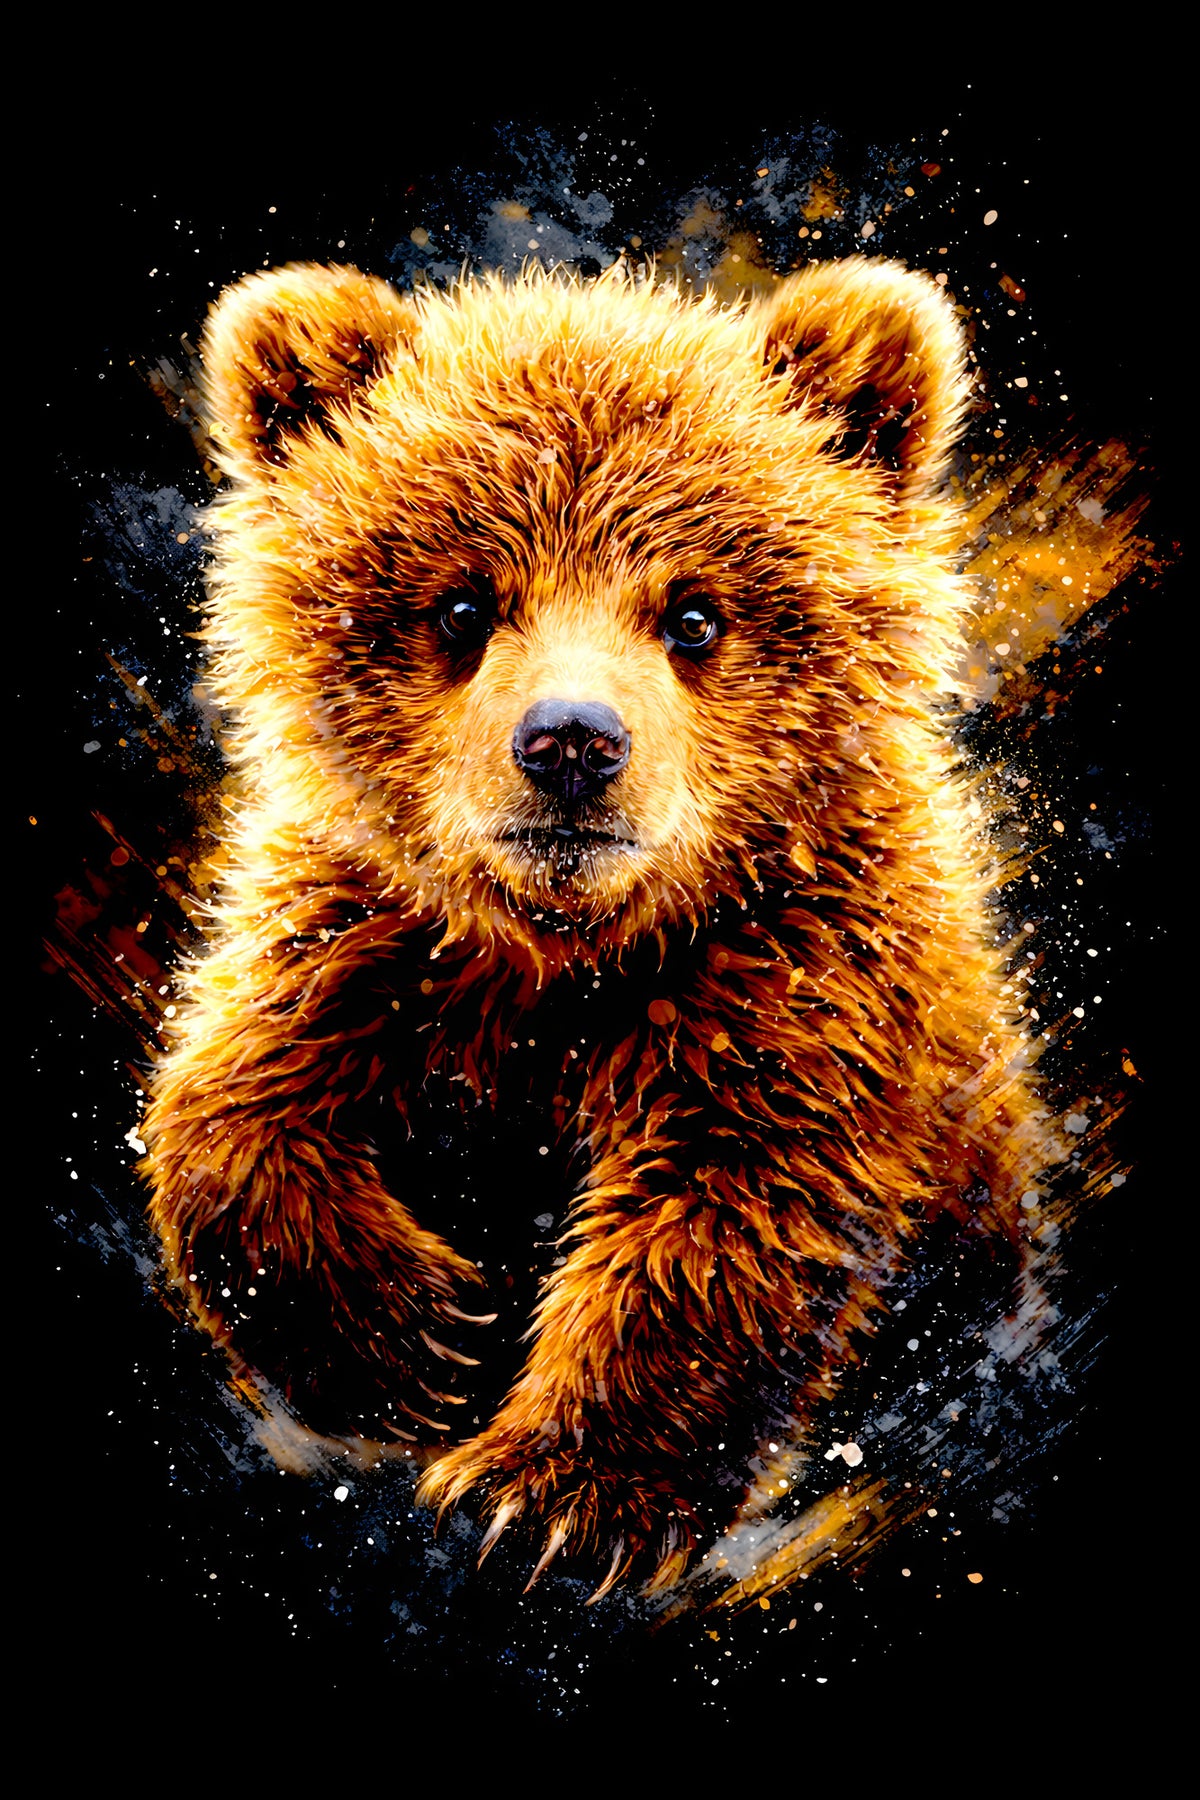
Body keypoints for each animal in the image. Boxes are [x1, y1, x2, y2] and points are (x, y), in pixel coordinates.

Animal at [141, 256, 1056, 1596]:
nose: (571, 742)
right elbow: (229, 1099)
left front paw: (550, 1496)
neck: (569, 954)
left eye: (694, 613)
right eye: (463, 604)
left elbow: (732, 1203)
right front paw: (421, 1335)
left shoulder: (801, 969)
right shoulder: (367, 938)